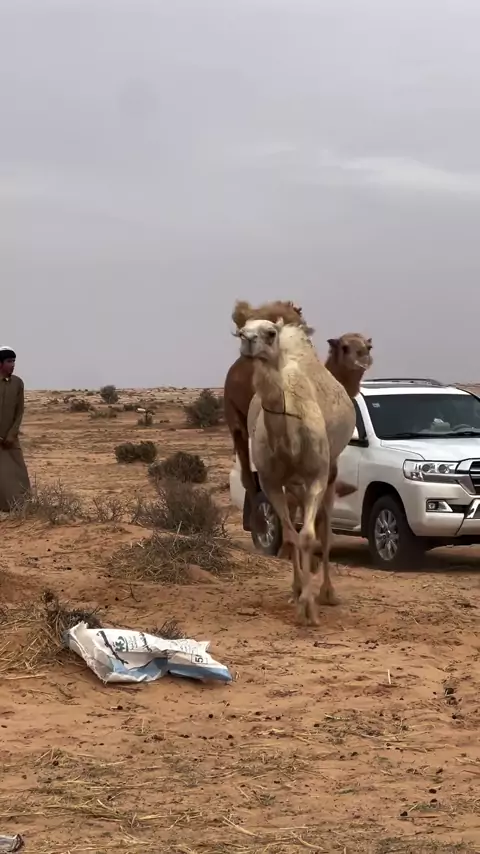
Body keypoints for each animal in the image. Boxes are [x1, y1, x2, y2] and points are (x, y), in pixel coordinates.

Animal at [236, 308, 356, 625]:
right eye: (241, 331)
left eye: (269, 333)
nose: (248, 341)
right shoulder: (270, 481)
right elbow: (291, 536)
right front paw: (300, 595)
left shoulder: (317, 476)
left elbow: (310, 536)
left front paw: (311, 606)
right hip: (293, 483)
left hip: (330, 471)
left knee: (325, 529)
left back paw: (328, 592)